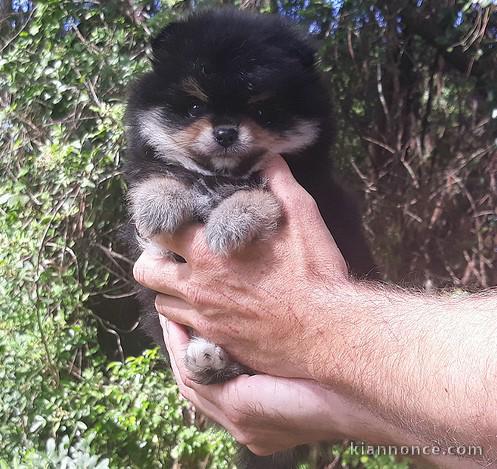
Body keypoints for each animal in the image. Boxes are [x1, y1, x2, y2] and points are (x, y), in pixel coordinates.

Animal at [124, 8, 376, 468]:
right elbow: (159, 181)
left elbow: (263, 196)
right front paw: (160, 202)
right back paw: (208, 358)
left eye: (263, 110)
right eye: (194, 105)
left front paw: (232, 219)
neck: (222, 175)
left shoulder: (313, 192)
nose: (226, 132)